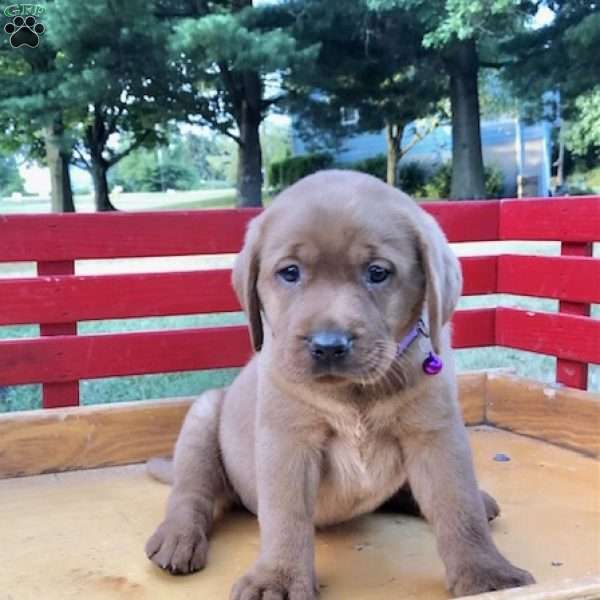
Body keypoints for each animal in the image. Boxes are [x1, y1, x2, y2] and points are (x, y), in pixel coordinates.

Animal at [146, 171, 536, 596]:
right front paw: (277, 577)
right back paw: (179, 536)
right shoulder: (288, 441)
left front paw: (486, 574)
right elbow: (285, 518)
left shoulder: (436, 435)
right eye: (290, 272)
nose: (329, 345)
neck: (355, 393)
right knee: (191, 494)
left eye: (378, 272)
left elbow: (458, 507)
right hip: (202, 418)